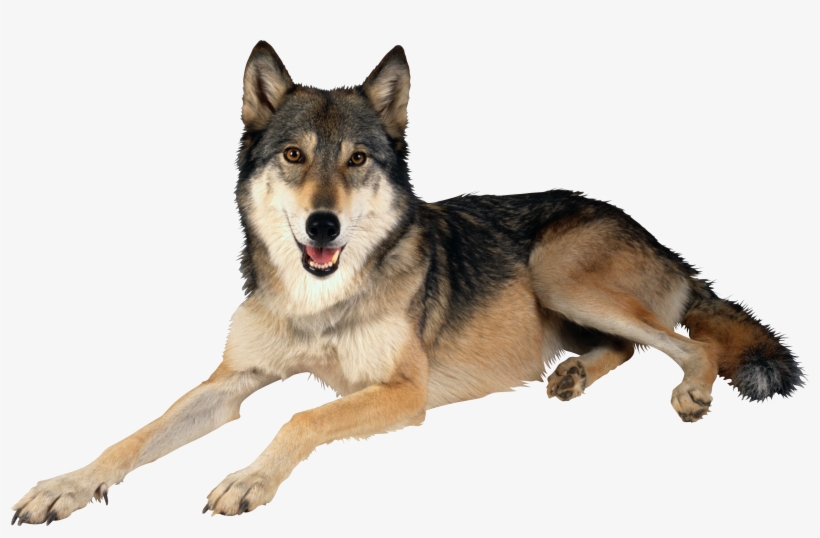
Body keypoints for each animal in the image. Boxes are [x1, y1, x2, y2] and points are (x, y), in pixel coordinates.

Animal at [11, 41, 804, 525]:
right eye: (295, 156)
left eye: (357, 159)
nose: (324, 224)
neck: (321, 297)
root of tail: (656, 237)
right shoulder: (233, 381)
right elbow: (134, 436)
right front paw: (64, 486)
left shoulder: (403, 392)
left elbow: (301, 417)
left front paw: (248, 479)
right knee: (634, 345)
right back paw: (572, 374)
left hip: (557, 274)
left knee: (689, 343)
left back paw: (690, 392)